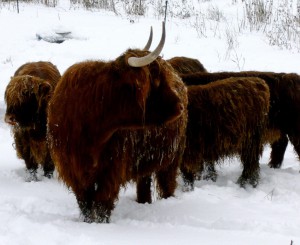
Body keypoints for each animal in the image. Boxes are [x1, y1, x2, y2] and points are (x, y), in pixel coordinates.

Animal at [47, 22, 188, 223]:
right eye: (156, 81)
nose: (179, 106)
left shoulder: (111, 170)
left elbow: (102, 203)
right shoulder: (74, 170)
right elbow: (85, 203)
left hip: (173, 154)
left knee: (167, 182)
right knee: (144, 181)